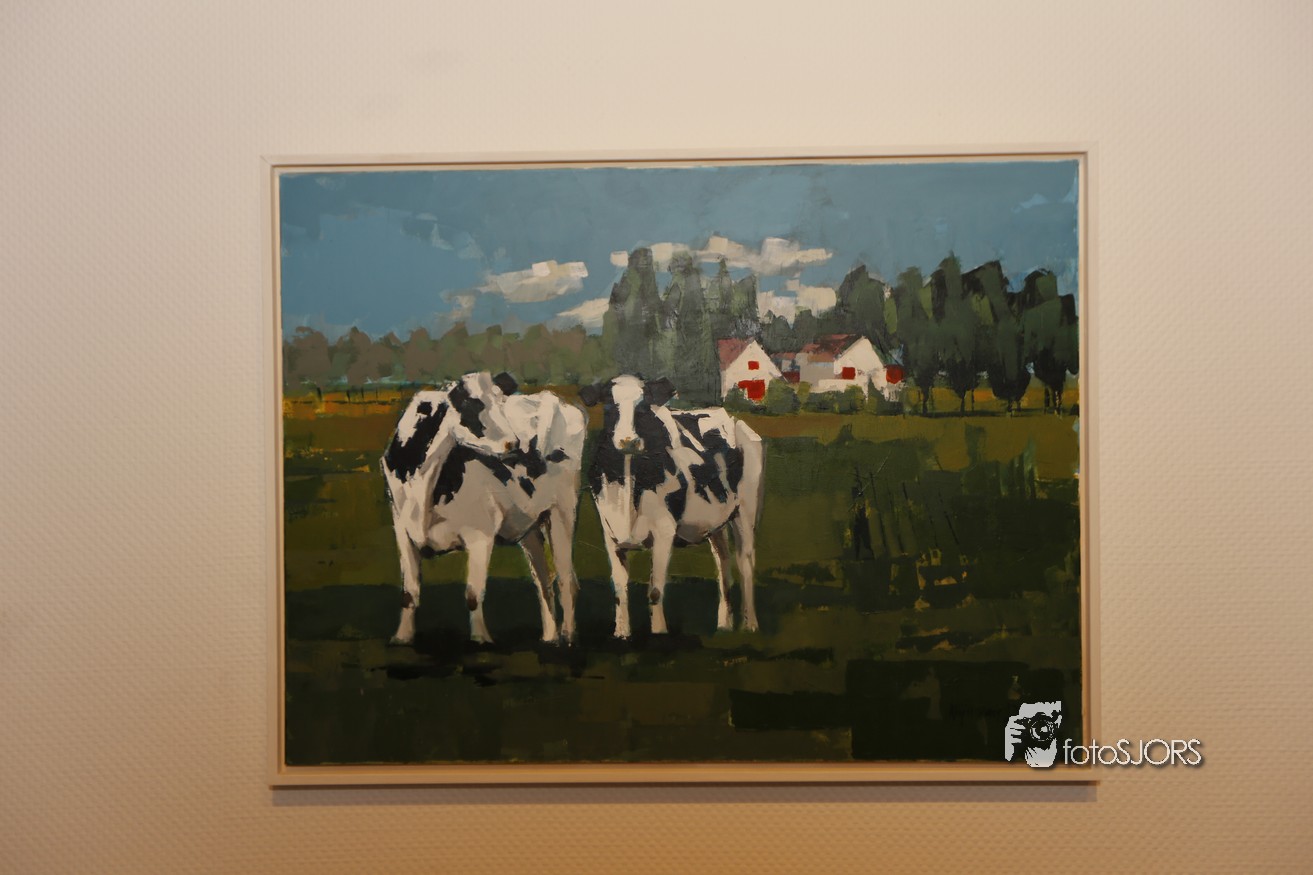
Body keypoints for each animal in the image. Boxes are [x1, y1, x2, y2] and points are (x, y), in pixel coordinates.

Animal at [381, 371, 586, 645]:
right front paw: (403, 637)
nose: (515, 444)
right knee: (543, 580)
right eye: (472, 405)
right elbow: (409, 593)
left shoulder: (481, 534)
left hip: (562, 510)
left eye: (499, 401)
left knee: (566, 579)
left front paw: (481, 639)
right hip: (529, 524)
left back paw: (568, 636)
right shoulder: (403, 532)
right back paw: (549, 637)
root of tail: (555, 398)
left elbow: (473, 593)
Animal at [578, 374, 765, 638]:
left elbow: (655, 590)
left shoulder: (664, 531)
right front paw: (622, 633)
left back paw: (751, 625)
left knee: (746, 562)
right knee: (723, 563)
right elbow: (620, 589)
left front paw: (659, 633)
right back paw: (724, 624)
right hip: (716, 522)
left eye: (643, 407)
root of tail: (730, 416)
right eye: (609, 406)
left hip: (746, 511)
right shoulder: (610, 533)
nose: (628, 441)